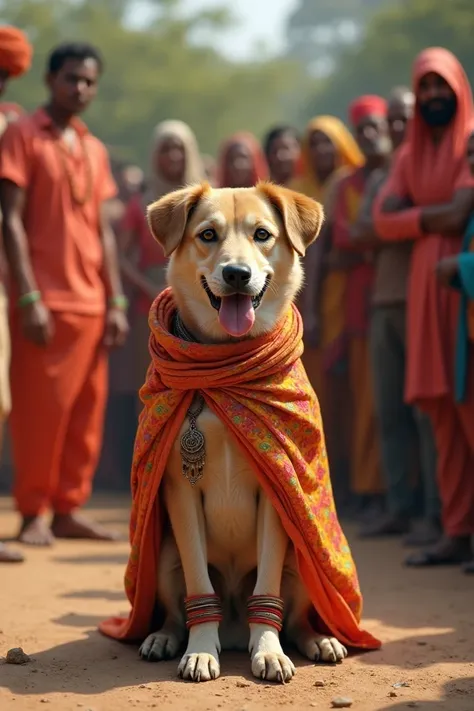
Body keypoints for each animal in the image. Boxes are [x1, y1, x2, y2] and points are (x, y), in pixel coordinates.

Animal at [137, 182, 348, 684]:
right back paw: (165, 637)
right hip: (165, 558)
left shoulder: (279, 486)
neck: (227, 368)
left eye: (262, 234)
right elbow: (199, 585)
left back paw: (318, 639)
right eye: (207, 235)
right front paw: (199, 651)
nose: (236, 274)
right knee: (177, 607)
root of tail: (233, 625)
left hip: (302, 563)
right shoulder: (179, 490)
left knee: (293, 614)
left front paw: (268, 651)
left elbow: (267, 588)